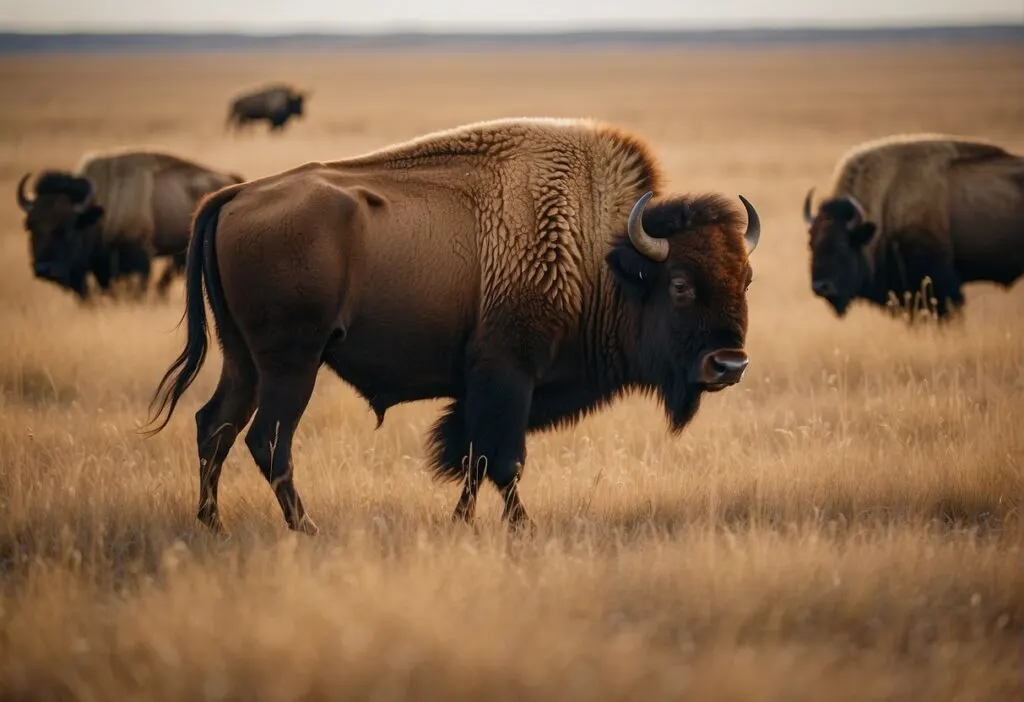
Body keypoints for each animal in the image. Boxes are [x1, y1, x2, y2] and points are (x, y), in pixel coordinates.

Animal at [145, 117, 761, 536]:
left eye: (747, 280)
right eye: (680, 285)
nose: (729, 365)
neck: (597, 253)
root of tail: (234, 194)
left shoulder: (484, 392)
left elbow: (473, 458)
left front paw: (461, 523)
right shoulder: (507, 374)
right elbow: (503, 459)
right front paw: (521, 529)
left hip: (242, 359)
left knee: (215, 425)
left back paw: (214, 525)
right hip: (292, 364)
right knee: (267, 440)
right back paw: (307, 529)